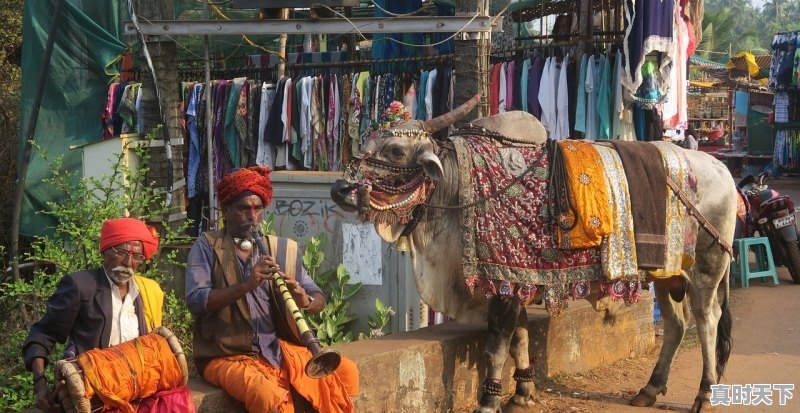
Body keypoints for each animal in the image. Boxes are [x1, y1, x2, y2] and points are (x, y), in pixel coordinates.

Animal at [332, 95, 736, 410]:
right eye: (366, 143)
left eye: (396, 150)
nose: (341, 189)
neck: (459, 187)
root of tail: (721, 168)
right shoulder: (519, 282)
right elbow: (521, 339)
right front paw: (523, 392)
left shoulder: (505, 284)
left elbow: (497, 347)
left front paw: (489, 400)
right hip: (668, 275)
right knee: (676, 324)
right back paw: (649, 389)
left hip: (707, 269)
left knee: (707, 322)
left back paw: (704, 394)